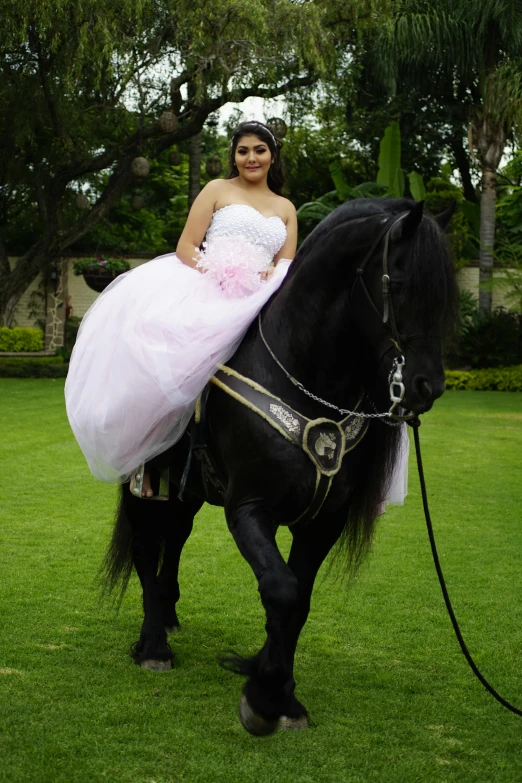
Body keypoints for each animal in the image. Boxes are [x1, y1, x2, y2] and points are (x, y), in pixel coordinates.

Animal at [101, 196, 456, 736]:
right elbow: (281, 591)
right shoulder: (249, 509)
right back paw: (153, 645)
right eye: (399, 284)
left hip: (189, 490)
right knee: (145, 544)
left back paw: (167, 614)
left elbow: (298, 599)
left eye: (445, 297)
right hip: (143, 477)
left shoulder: (324, 521)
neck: (302, 377)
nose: (427, 387)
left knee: (175, 536)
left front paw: (282, 693)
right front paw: (263, 698)